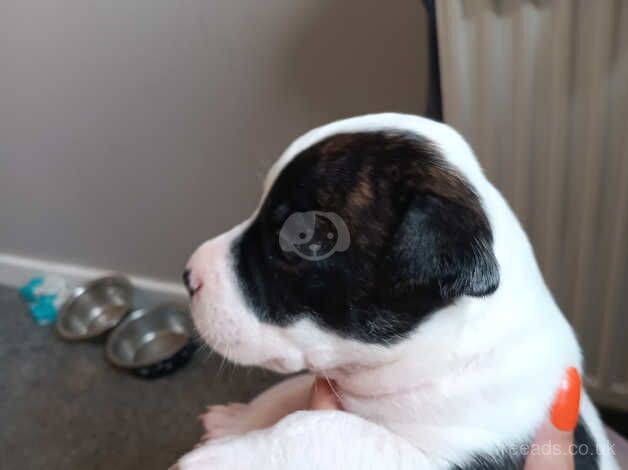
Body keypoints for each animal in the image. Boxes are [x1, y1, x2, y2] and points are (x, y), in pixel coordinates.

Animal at [177, 114, 620, 470]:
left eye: (298, 240)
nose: (188, 275)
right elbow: (288, 394)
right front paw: (239, 420)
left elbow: (324, 426)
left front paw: (230, 457)